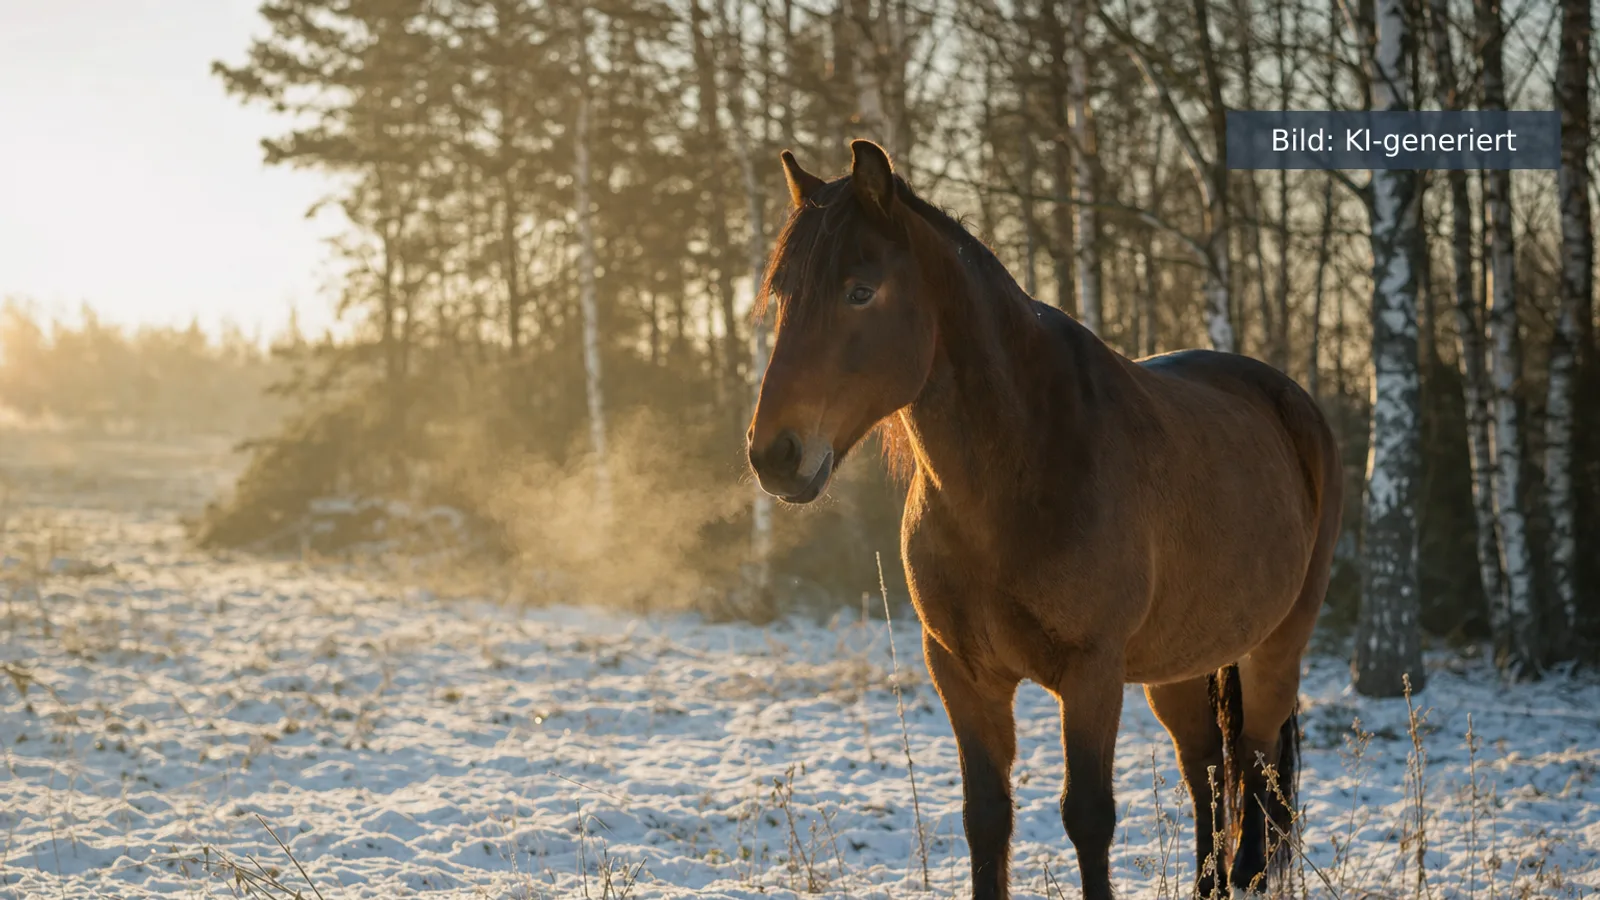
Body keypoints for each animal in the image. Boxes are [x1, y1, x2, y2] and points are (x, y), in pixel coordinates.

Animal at [745, 141, 1342, 900]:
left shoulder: (1091, 673)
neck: (1020, 472)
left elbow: (1086, 815)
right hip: (1181, 664)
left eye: (860, 290)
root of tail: (1293, 402)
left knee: (1257, 775)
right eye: (782, 295)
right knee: (1207, 766)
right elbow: (985, 817)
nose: (775, 454)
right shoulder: (962, 673)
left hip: (1276, 648)